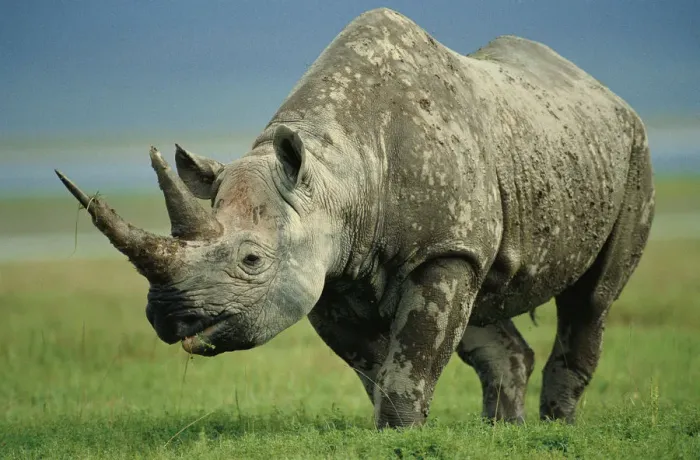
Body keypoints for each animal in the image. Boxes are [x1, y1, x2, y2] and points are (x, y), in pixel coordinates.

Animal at [55, 8, 655, 428]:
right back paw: (504, 433)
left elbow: (412, 358)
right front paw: (390, 432)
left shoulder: (441, 249)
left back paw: (556, 430)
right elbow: (378, 367)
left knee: (592, 300)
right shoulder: (326, 267)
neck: (334, 175)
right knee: (485, 301)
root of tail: (603, 91)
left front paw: (401, 432)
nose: (168, 316)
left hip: (630, 151)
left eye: (251, 260)